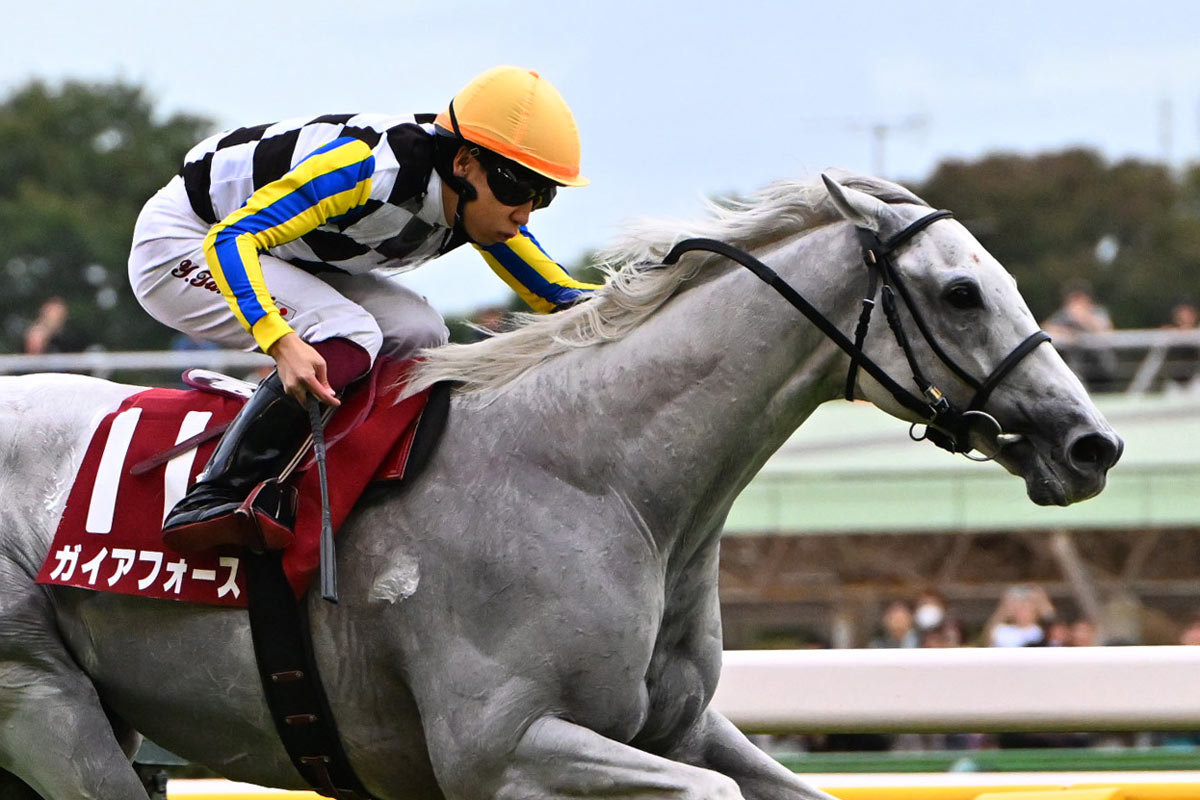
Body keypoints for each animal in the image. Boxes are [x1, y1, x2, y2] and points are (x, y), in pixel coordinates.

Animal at [0, 173, 1121, 799]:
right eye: (961, 290)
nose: (1092, 444)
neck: (605, 480)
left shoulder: (674, 723)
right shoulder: (502, 749)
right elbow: (705, 794)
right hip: (44, 703)